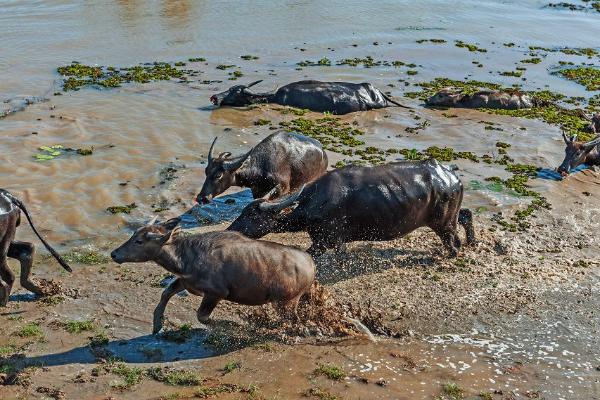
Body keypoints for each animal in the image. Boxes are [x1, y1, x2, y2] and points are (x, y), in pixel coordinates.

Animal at [109, 217, 314, 332]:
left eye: (139, 241)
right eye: (134, 235)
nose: (114, 254)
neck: (185, 259)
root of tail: (311, 265)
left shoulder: (216, 293)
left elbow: (202, 316)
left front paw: (232, 325)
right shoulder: (185, 282)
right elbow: (166, 293)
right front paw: (157, 325)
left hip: (286, 302)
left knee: (297, 323)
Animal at [197, 132, 328, 203]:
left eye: (218, 175)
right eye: (206, 171)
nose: (201, 198)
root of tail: (323, 152)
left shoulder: (283, 188)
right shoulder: (256, 191)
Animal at [227, 159, 476, 256]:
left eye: (251, 214)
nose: (230, 230)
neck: (313, 202)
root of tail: (451, 175)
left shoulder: (334, 241)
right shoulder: (320, 241)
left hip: (444, 224)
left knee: (454, 244)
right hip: (451, 216)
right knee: (465, 214)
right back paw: (473, 241)